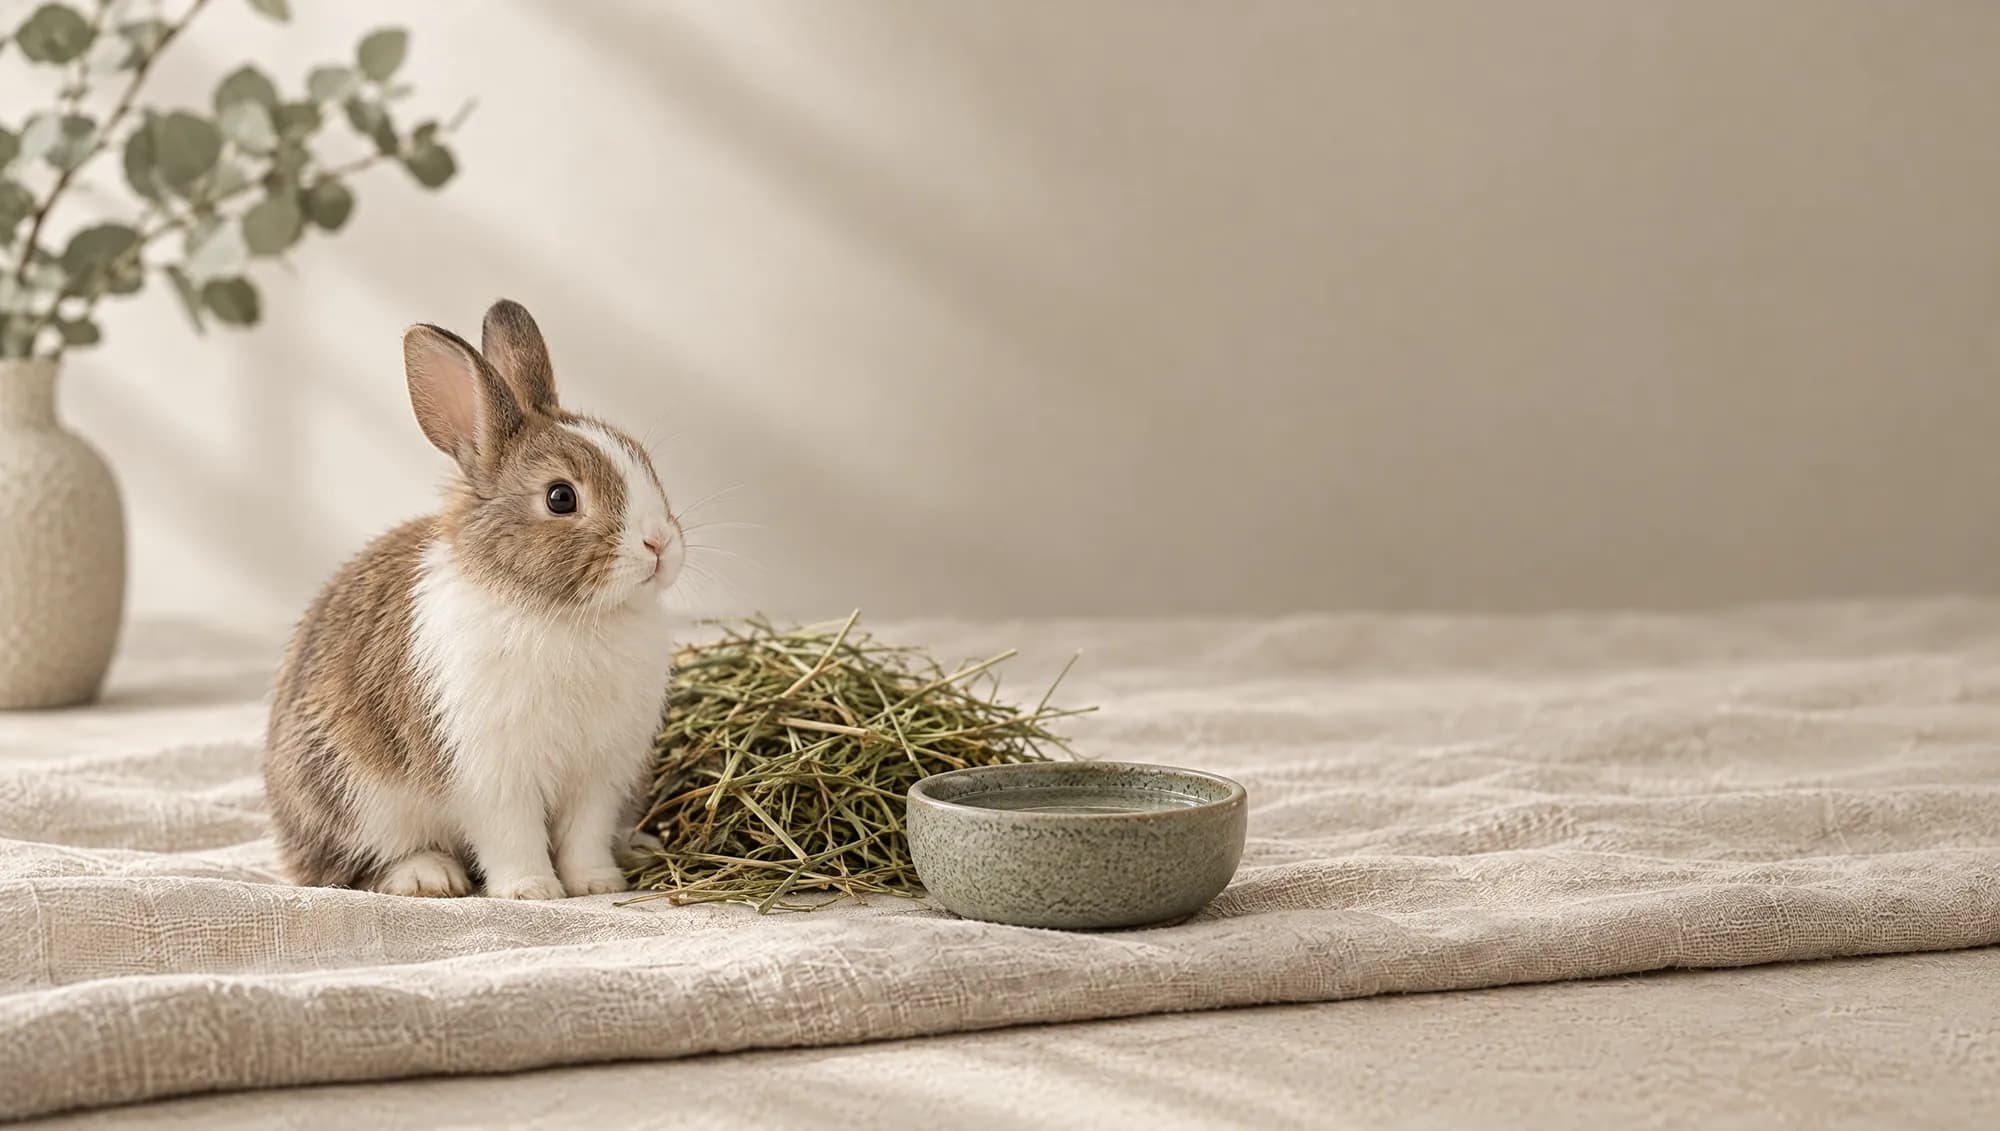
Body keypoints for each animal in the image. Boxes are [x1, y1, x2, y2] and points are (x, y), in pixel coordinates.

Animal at [264, 299, 685, 899]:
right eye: (561, 497)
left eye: (644, 461)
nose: (660, 545)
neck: (564, 612)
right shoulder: (491, 775)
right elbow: (512, 836)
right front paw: (532, 891)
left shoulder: (598, 776)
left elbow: (584, 834)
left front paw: (597, 885)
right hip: (348, 794)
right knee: (348, 866)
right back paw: (428, 876)